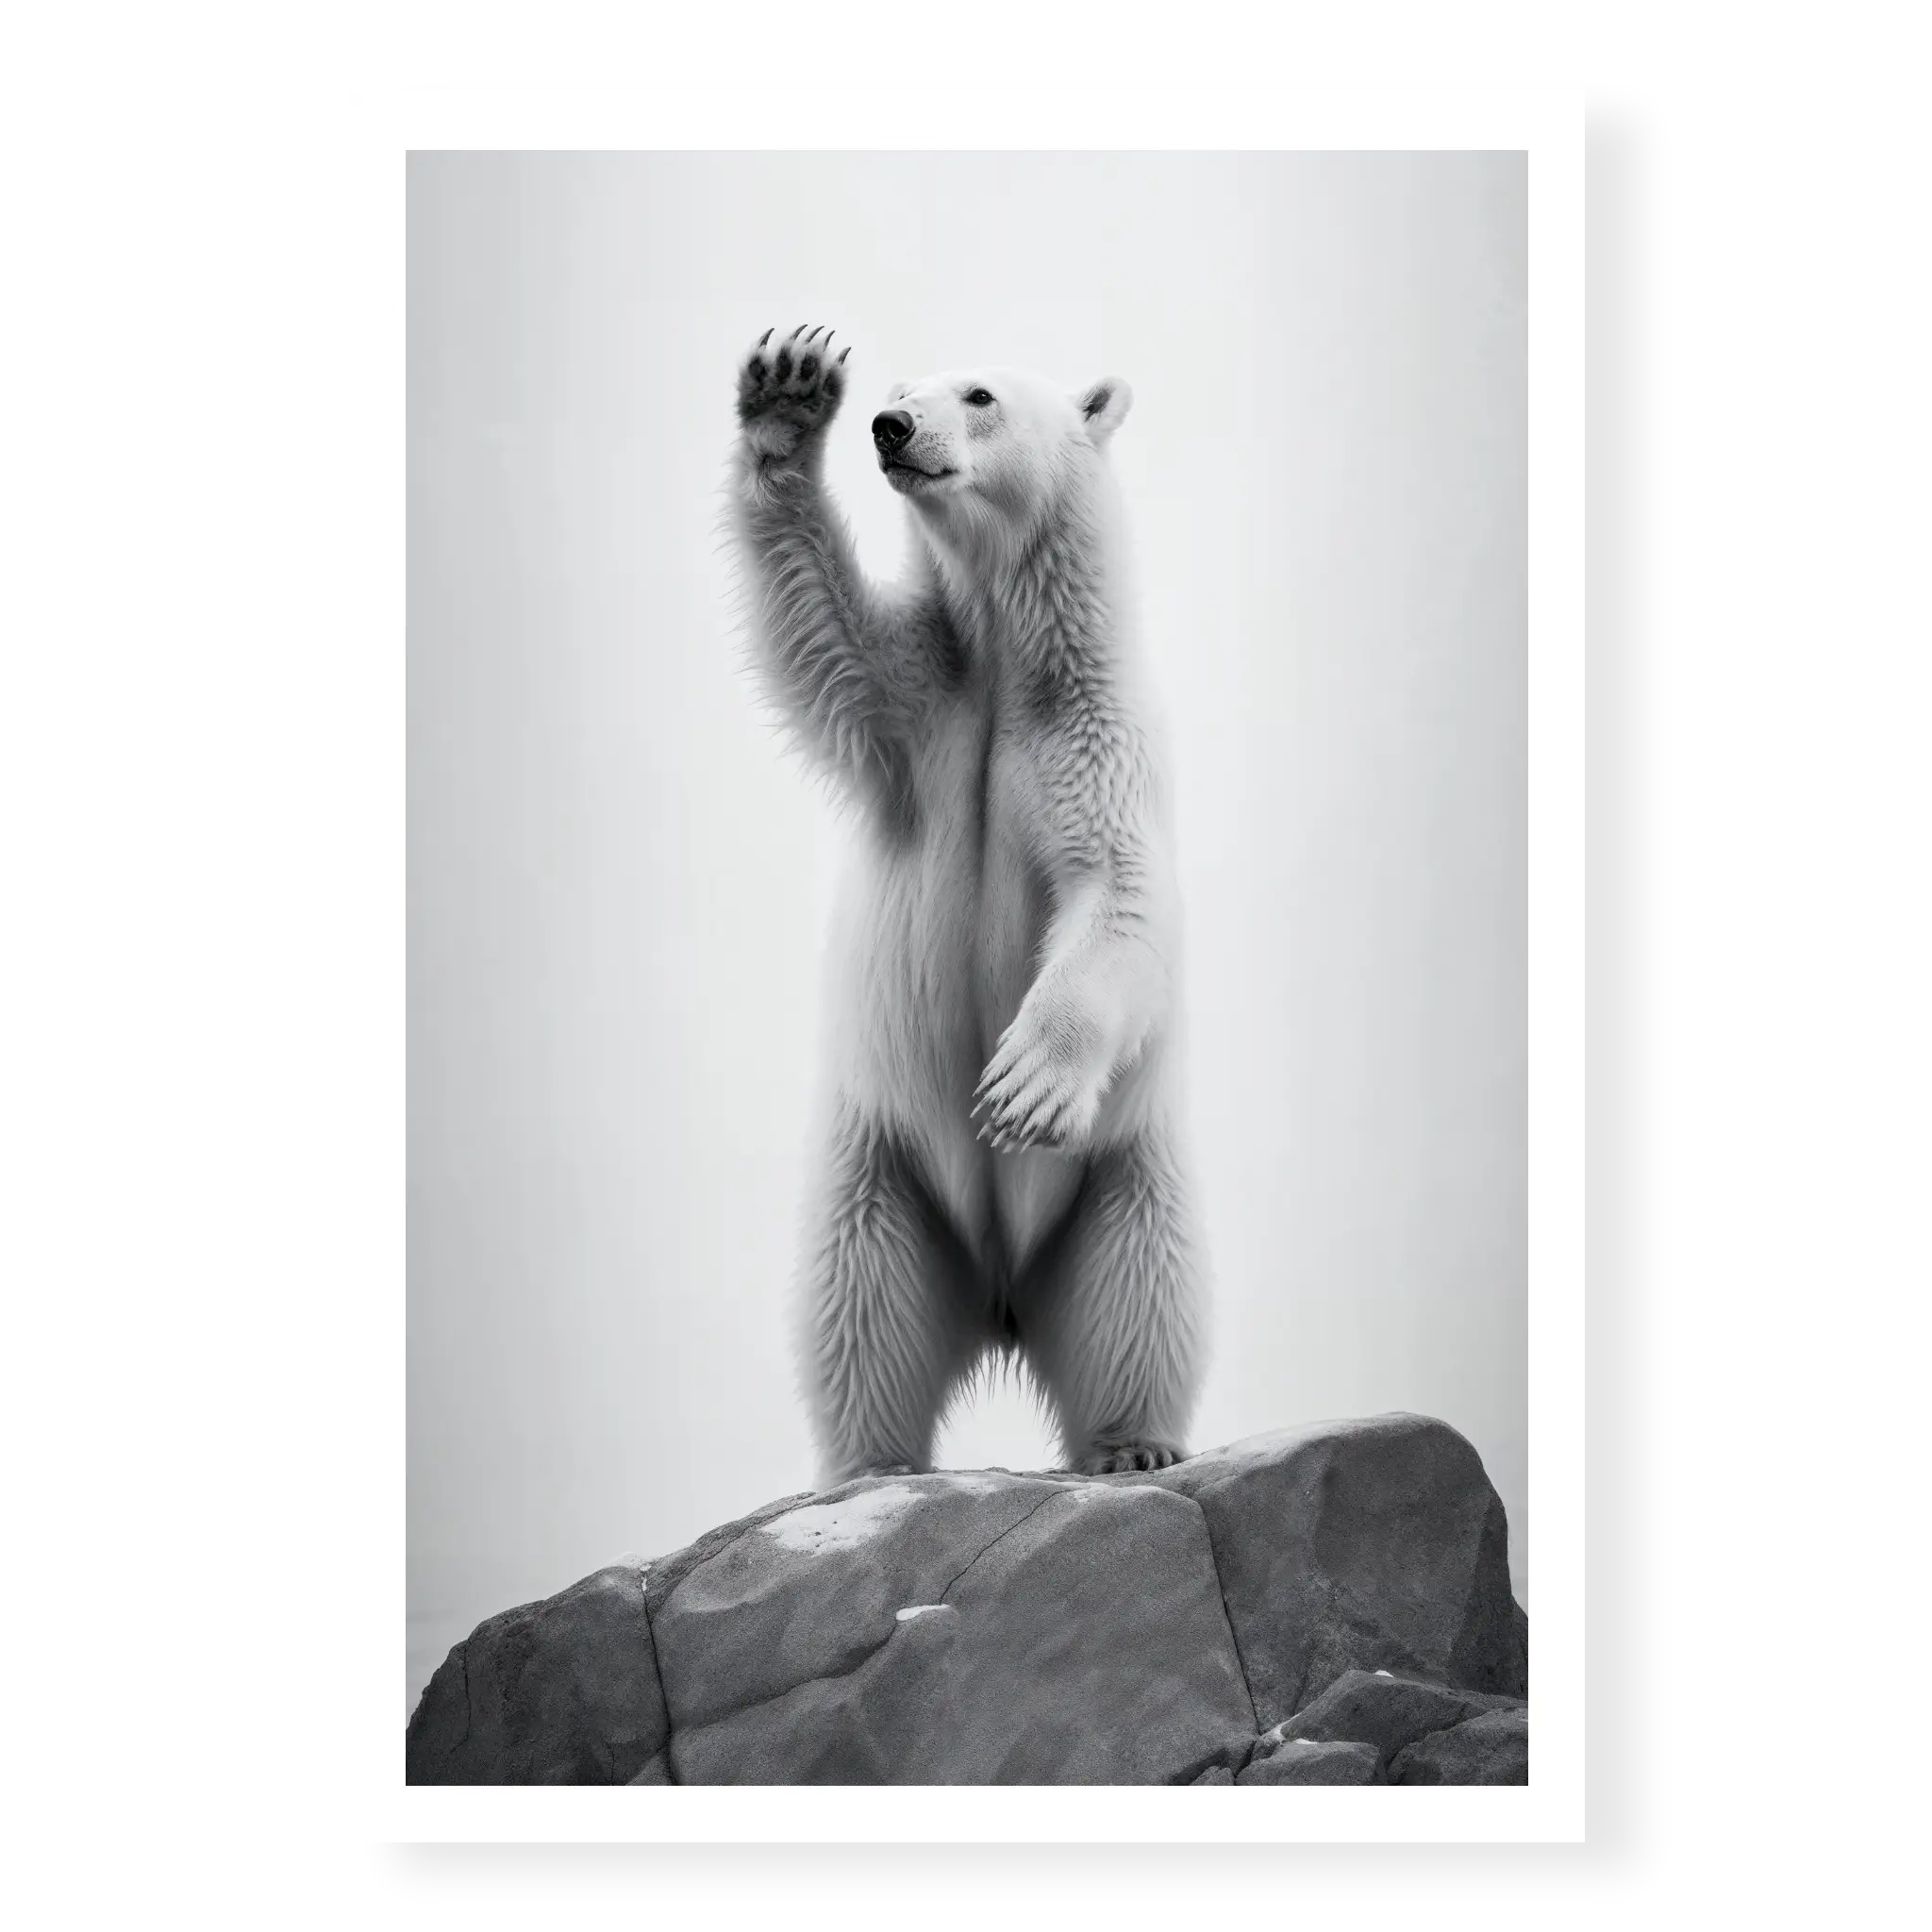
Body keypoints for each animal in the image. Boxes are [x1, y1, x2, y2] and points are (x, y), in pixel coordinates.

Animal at [727, 324, 1205, 1482]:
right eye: (899, 388)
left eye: (979, 394)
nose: (890, 426)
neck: (1008, 655)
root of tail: (999, 1300)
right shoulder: (918, 702)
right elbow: (821, 628)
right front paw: (788, 389)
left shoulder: (1096, 735)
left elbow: (1116, 895)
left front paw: (1024, 1083)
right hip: (882, 1171)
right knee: (858, 1303)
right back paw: (869, 1463)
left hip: (1119, 1176)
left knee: (1141, 1287)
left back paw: (1132, 1445)